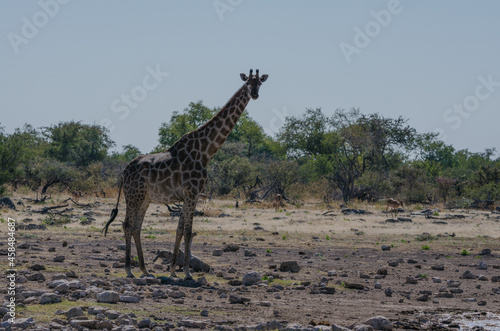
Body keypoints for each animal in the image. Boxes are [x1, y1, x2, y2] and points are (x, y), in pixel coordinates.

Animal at [102, 70, 270, 280]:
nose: (254, 94)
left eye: (260, 83)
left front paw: (174, 270)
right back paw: (129, 270)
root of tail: (123, 173)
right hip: (133, 195)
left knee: (136, 226)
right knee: (127, 225)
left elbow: (180, 229)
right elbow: (188, 232)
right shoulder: (192, 193)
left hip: (145, 198)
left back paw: (145, 269)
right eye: (247, 82)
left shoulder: (190, 195)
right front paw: (188, 273)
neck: (206, 151)